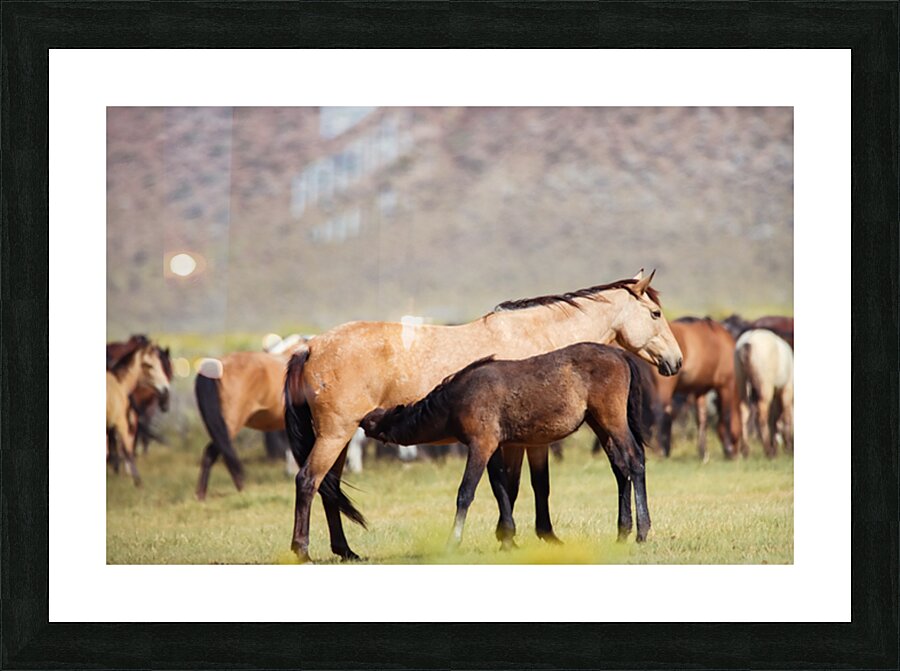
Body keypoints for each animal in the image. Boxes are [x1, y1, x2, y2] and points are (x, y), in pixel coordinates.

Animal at [106, 337, 171, 485]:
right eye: (149, 365)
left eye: (162, 365)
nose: (165, 390)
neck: (119, 383)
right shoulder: (120, 421)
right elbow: (127, 448)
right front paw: (137, 481)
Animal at [361, 343, 651, 546]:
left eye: (380, 418)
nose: (363, 419)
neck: (457, 398)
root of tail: (620, 354)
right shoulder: (494, 448)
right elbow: (502, 488)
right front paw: (507, 538)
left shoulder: (481, 445)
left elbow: (466, 493)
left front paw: (454, 541)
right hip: (599, 424)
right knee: (620, 468)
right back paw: (623, 531)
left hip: (612, 419)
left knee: (635, 460)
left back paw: (642, 531)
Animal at [653, 317, 743, 461]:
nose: (736, 454)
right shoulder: (726, 385)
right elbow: (726, 416)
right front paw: (728, 447)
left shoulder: (699, 391)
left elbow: (702, 419)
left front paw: (703, 452)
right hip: (664, 388)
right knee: (660, 413)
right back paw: (661, 451)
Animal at [734, 329, 794, 457]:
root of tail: (748, 342)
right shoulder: (786, 389)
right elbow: (785, 416)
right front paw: (786, 446)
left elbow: (774, 418)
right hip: (765, 390)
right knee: (762, 417)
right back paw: (768, 451)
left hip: (742, 385)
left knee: (744, 413)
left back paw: (746, 450)